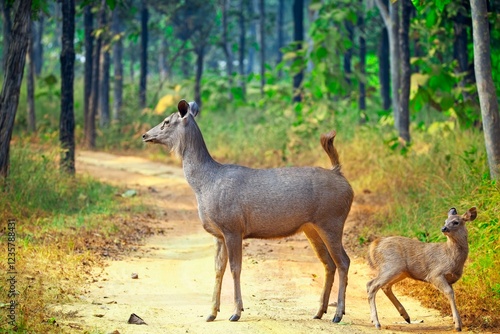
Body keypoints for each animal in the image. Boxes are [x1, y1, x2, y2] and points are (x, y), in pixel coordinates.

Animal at [141, 100, 354, 324]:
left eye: (166, 121)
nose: (145, 135)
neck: (204, 185)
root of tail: (340, 175)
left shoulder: (233, 227)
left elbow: (235, 269)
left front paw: (236, 312)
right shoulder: (218, 233)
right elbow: (218, 269)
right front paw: (211, 312)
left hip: (332, 220)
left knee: (343, 261)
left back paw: (338, 314)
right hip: (311, 227)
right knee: (328, 263)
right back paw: (319, 311)